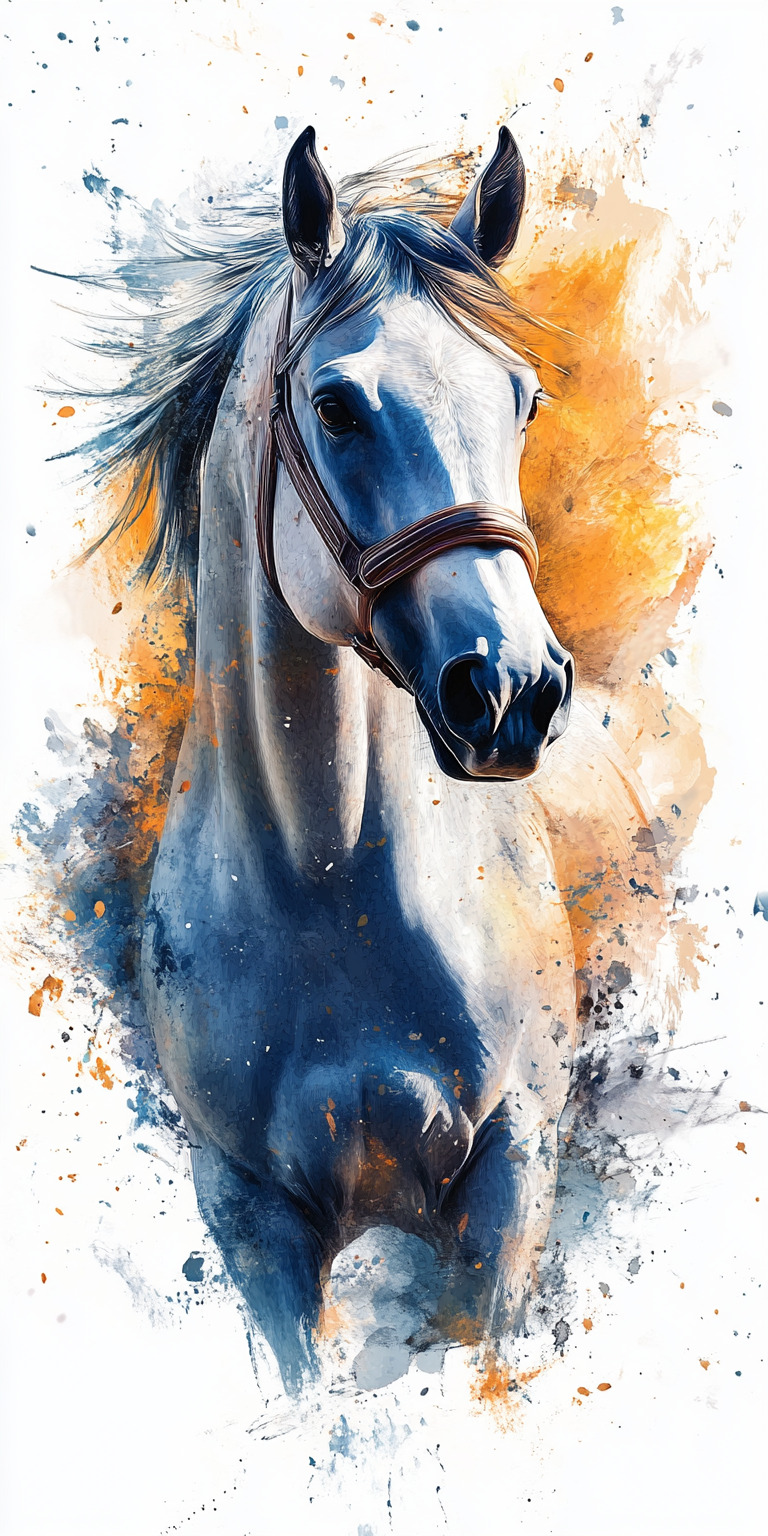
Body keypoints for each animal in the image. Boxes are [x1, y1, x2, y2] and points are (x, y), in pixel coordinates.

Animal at [137, 125, 667, 1391]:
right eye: (335, 407)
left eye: (521, 400)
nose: (512, 693)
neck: (326, 884)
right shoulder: (253, 1222)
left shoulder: (510, 1184)